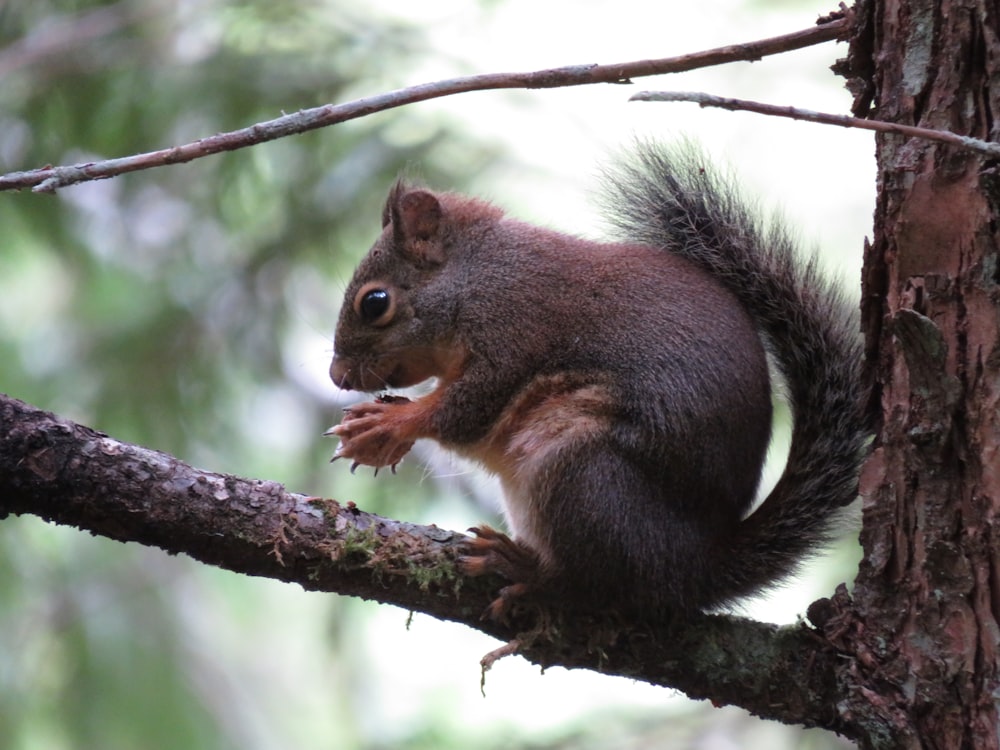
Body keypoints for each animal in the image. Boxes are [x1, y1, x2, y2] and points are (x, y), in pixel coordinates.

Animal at [328, 141, 868, 624]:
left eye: (375, 303)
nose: (337, 376)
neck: (477, 278)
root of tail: (694, 569)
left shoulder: (511, 337)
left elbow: (465, 412)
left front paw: (387, 425)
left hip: (578, 472)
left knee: (594, 584)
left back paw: (523, 568)